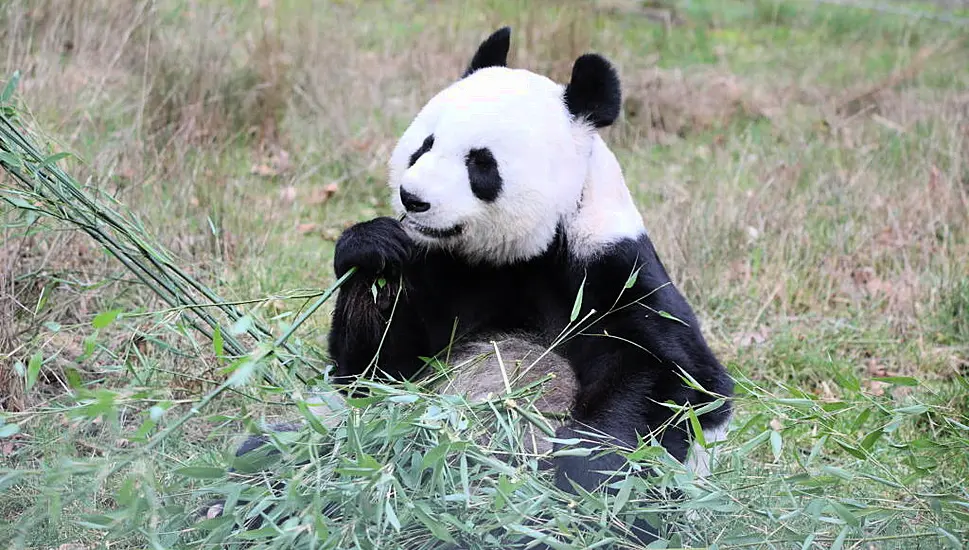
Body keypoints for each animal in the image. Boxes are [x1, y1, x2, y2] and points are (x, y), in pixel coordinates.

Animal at [225, 24, 732, 544]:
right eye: (424, 145)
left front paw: (583, 474)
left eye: (480, 163)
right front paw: (373, 250)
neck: (523, 252)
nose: (413, 198)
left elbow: (677, 380)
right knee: (278, 450)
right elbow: (374, 370)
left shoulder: (610, 269)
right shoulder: (450, 271)